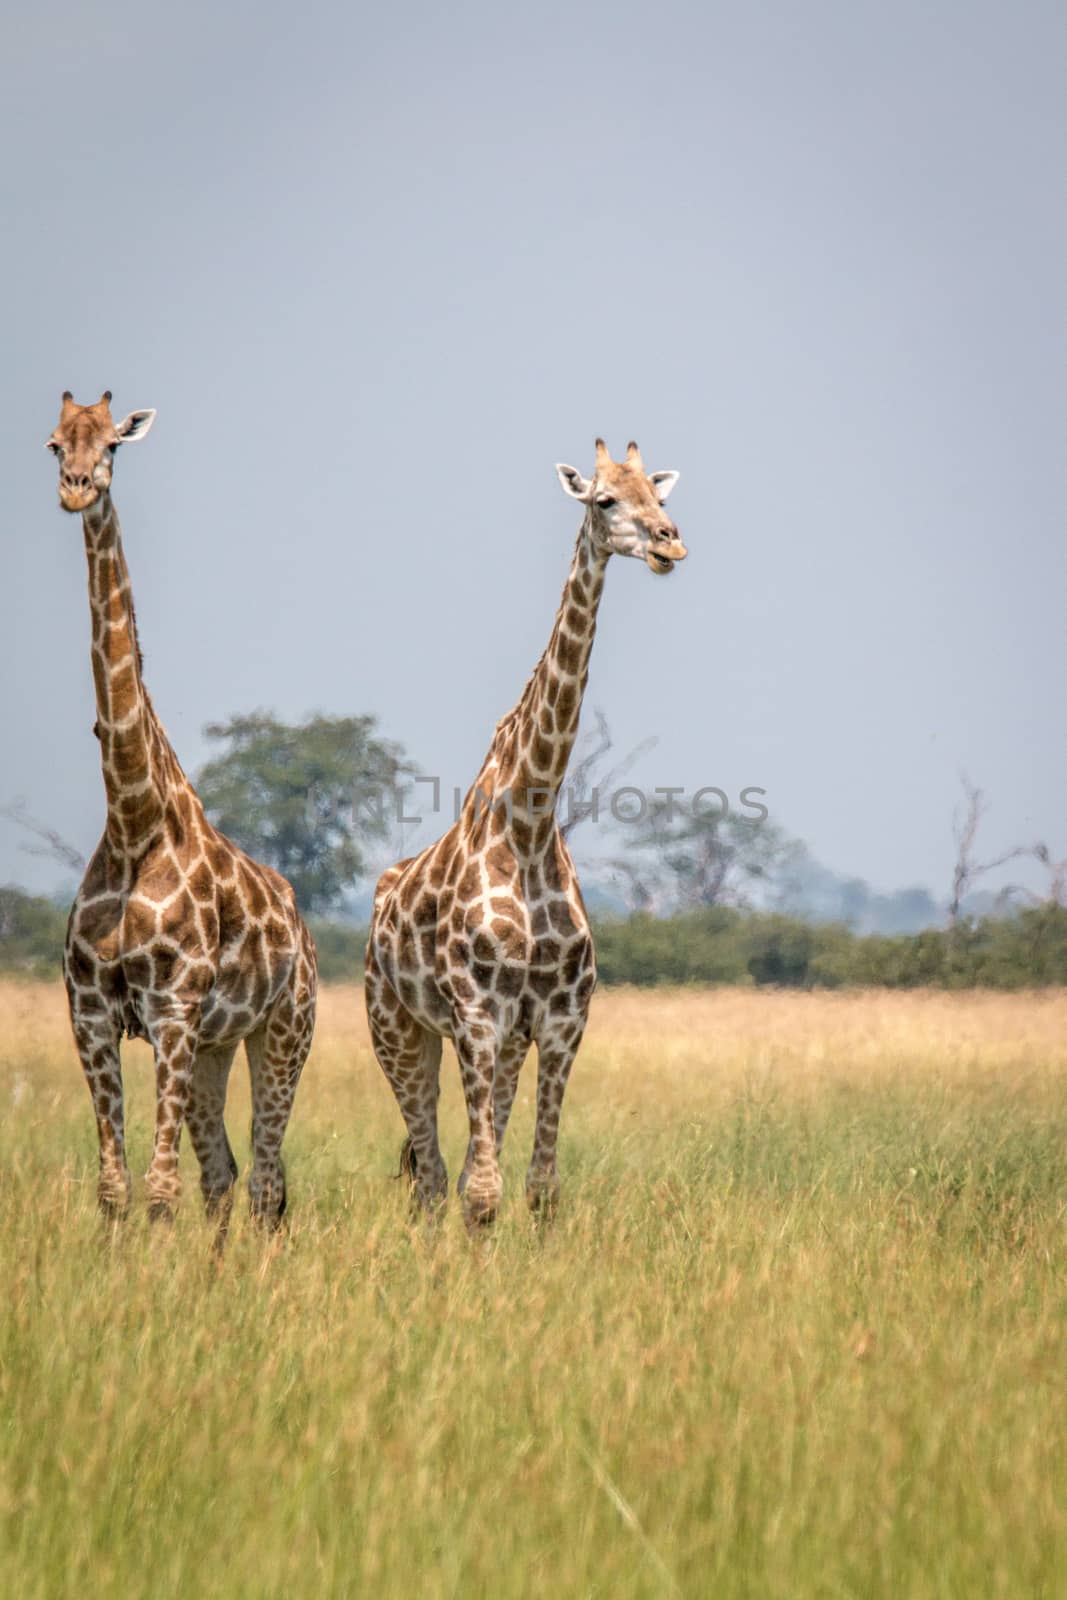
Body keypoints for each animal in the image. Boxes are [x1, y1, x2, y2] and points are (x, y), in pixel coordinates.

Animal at [44, 393, 316, 1228]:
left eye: (113, 446)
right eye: (54, 443)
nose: (75, 489)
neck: (134, 819)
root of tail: (303, 927)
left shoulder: (172, 1006)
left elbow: (161, 1186)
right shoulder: (90, 1010)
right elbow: (116, 1184)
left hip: (281, 1030)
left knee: (267, 1181)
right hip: (215, 1046)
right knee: (224, 1173)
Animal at [367, 438, 684, 1222]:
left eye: (658, 496)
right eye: (605, 499)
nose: (670, 542)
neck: (531, 824)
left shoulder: (561, 1022)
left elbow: (538, 1188)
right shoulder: (477, 1016)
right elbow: (483, 1192)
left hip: (497, 1043)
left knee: (453, 1168)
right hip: (397, 1027)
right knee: (431, 1175)